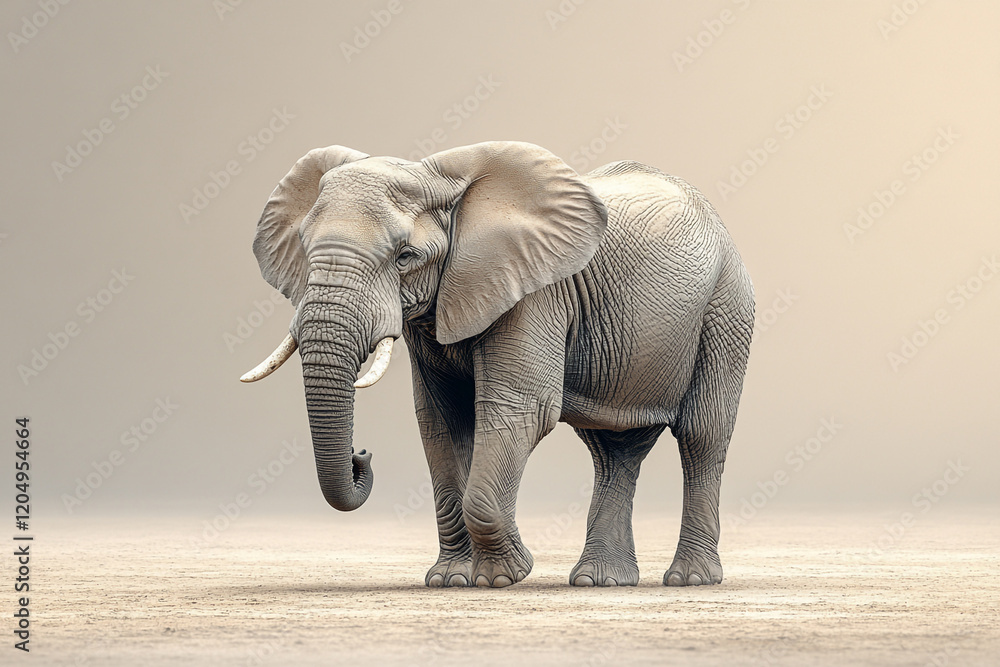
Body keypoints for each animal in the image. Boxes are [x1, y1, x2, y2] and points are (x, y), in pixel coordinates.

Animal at [241, 141, 754, 588]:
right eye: (304, 248)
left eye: (405, 257)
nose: (361, 454)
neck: (443, 184)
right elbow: (442, 420)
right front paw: (449, 581)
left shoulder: (536, 293)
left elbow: (519, 408)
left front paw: (503, 578)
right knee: (614, 448)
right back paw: (600, 581)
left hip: (726, 306)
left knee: (702, 435)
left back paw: (690, 579)